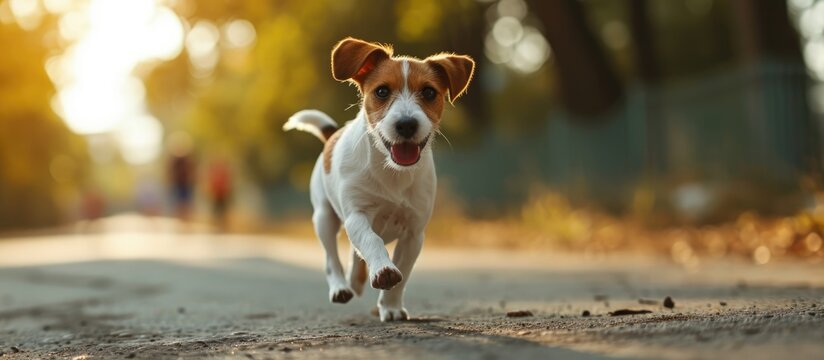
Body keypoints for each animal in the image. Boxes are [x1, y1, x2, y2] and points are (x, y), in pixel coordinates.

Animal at [284, 38, 474, 322]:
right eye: (382, 91)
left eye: (429, 93)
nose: (406, 124)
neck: (392, 171)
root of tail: (332, 135)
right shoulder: (357, 216)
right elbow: (371, 241)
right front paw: (383, 270)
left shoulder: (414, 233)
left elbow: (402, 273)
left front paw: (391, 306)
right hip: (324, 217)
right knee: (332, 258)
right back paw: (341, 286)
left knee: (354, 255)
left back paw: (356, 279)